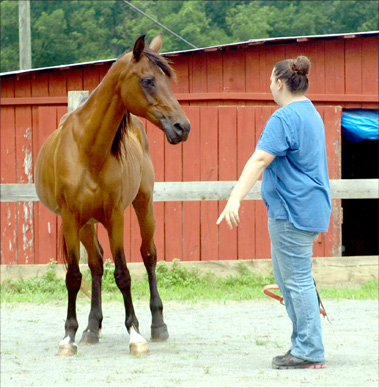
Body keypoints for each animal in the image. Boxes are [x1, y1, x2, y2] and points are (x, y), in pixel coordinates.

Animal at [34, 34, 191, 356]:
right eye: (148, 80)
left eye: (168, 81)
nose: (182, 127)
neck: (88, 149)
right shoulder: (71, 219)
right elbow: (74, 276)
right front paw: (69, 336)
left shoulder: (115, 217)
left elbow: (123, 274)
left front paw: (135, 334)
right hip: (86, 225)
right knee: (95, 264)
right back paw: (91, 328)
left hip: (143, 205)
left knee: (148, 255)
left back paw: (157, 325)